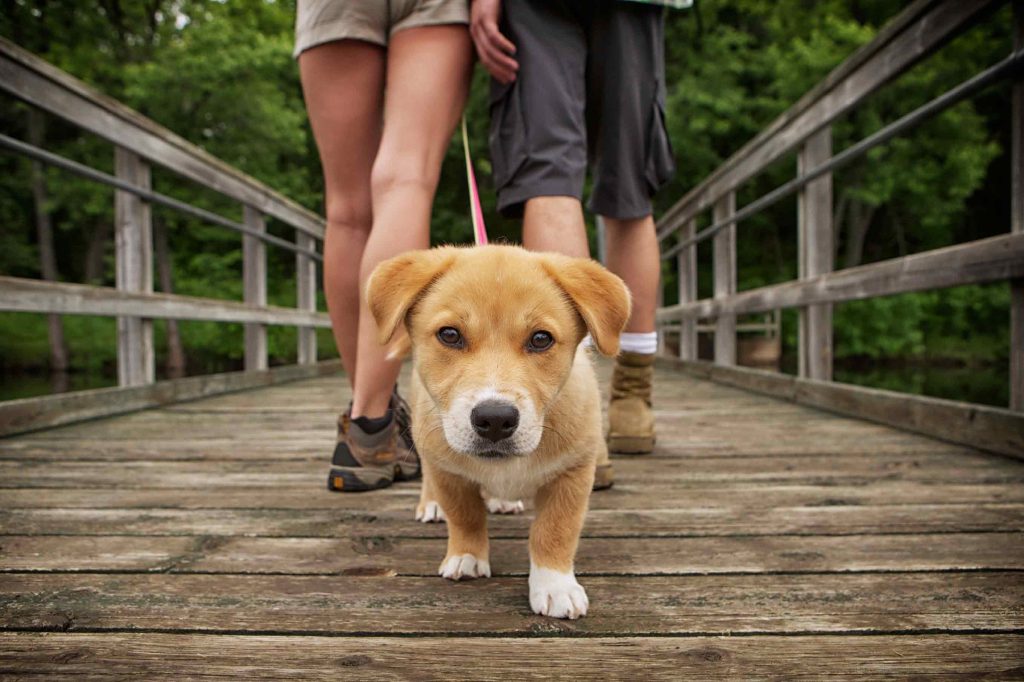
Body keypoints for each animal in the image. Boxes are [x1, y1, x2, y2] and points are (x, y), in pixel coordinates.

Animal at [364, 244, 626, 614]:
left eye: (541, 339)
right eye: (450, 334)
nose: (495, 420)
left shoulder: (573, 472)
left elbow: (555, 530)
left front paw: (555, 585)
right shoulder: (448, 472)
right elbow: (465, 516)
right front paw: (467, 556)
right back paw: (431, 505)